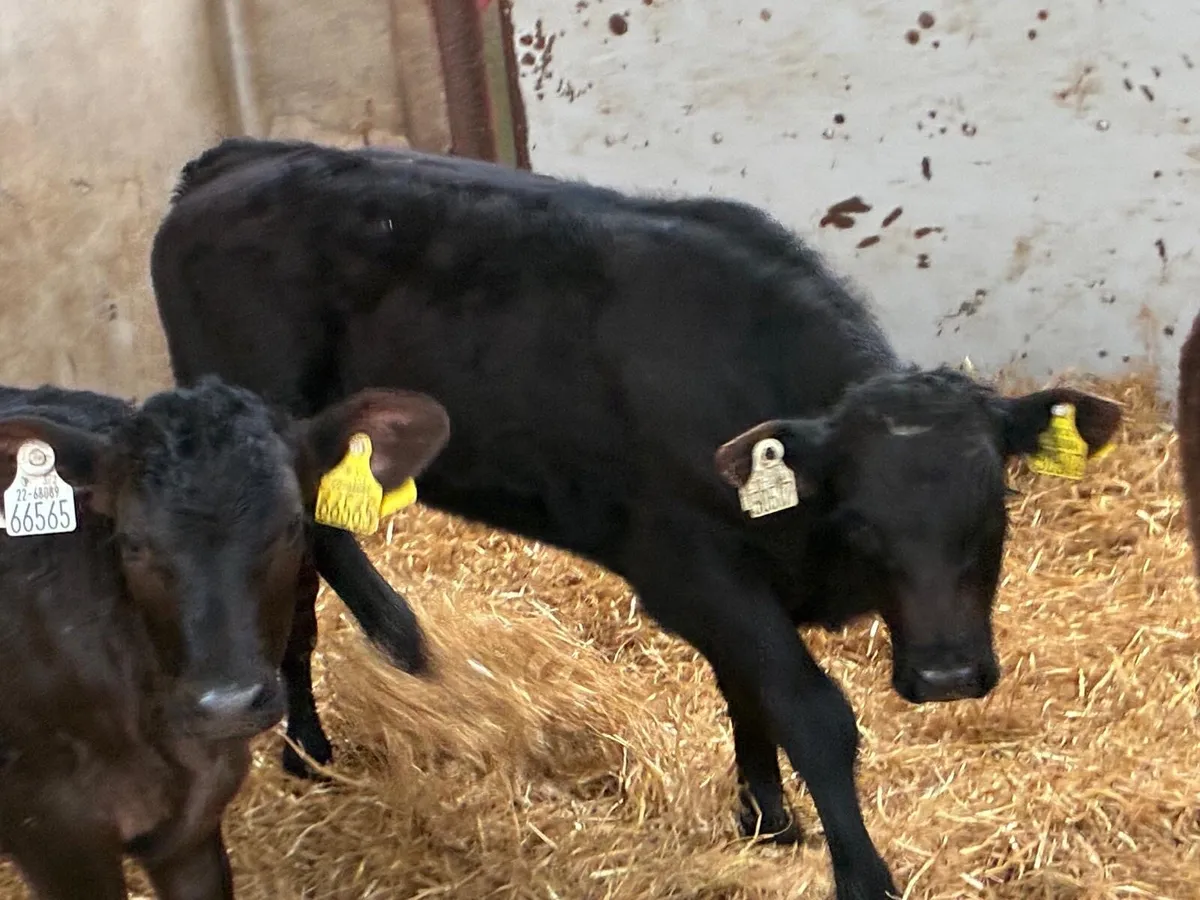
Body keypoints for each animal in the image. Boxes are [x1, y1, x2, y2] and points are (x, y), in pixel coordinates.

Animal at [148, 137, 1122, 900]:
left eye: (993, 509)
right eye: (864, 522)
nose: (950, 674)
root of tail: (233, 160)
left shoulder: (738, 578)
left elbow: (746, 690)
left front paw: (766, 816)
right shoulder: (688, 568)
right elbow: (810, 709)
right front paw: (861, 874)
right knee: (310, 553)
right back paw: (374, 662)